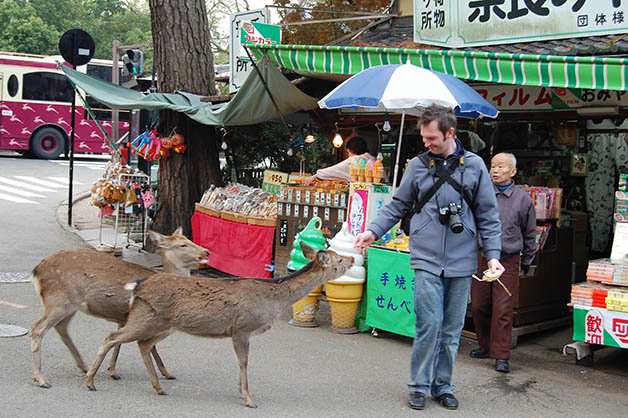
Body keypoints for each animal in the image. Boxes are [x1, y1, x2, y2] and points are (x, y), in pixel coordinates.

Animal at [30, 229, 209, 388]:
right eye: (183, 245)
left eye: (189, 239)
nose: (206, 252)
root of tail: (36, 271)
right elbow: (149, 345)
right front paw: (166, 373)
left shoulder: (123, 318)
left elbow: (119, 344)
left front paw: (113, 370)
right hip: (58, 301)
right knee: (37, 328)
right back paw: (41, 379)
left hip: (70, 305)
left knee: (61, 327)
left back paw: (83, 367)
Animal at [83, 242, 354, 408]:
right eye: (339, 259)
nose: (352, 257)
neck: (272, 302)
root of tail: (137, 287)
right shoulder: (242, 328)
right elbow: (244, 362)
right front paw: (248, 398)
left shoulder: (240, 332)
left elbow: (241, 363)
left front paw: (241, 392)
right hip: (146, 319)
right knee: (112, 336)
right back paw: (90, 381)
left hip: (161, 325)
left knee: (142, 344)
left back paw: (158, 387)